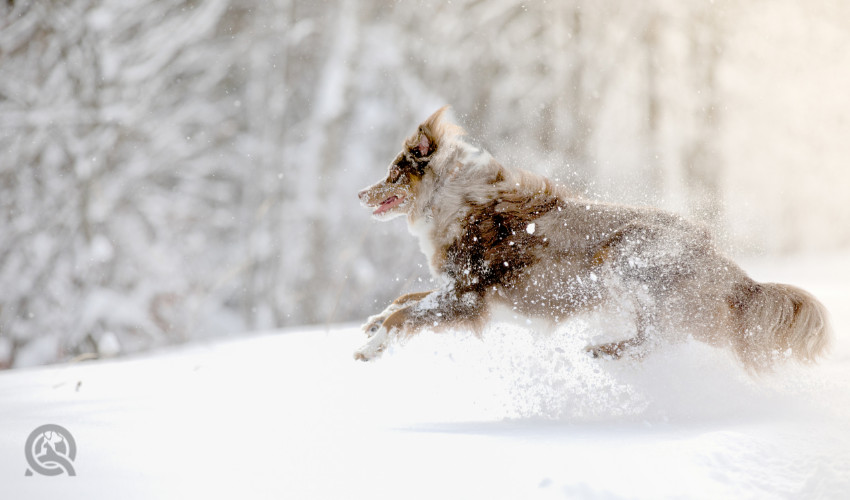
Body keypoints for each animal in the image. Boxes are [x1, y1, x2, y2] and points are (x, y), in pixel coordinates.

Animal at [352, 106, 828, 372]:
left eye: (392, 173)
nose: (358, 194)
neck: (454, 198)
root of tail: (730, 269)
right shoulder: (455, 289)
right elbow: (403, 300)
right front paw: (371, 323)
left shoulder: (469, 296)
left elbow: (405, 312)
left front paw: (372, 349)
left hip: (624, 256)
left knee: (660, 336)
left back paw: (602, 350)